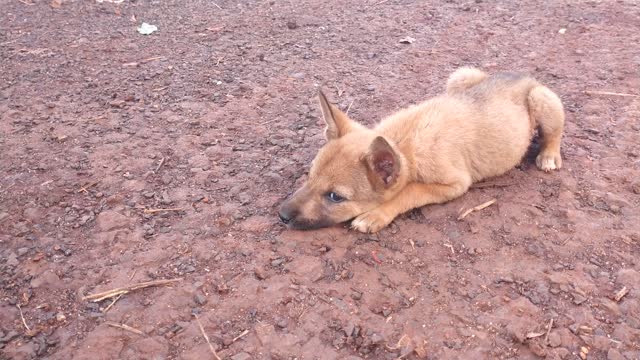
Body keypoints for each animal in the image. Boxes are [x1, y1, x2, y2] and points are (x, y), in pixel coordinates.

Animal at [278, 68, 564, 233]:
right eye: (309, 176)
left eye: (335, 197)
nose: (281, 216)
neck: (405, 142)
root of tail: (524, 76)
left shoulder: (455, 184)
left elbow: (409, 191)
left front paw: (376, 215)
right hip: (458, 77)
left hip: (542, 100)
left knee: (554, 133)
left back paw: (549, 155)